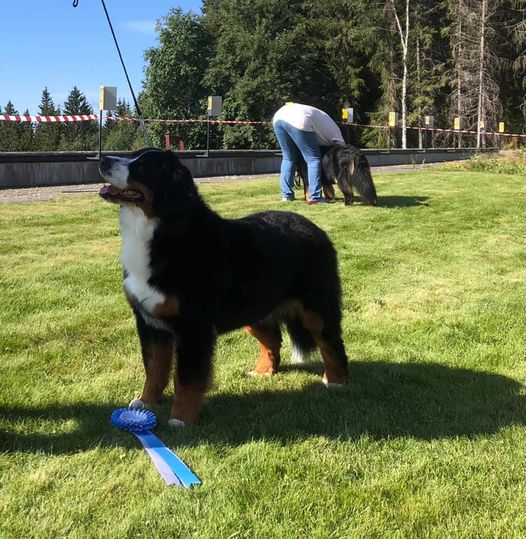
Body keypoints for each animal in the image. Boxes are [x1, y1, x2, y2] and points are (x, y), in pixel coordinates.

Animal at [98, 150, 348, 428]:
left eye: (142, 166)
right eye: (132, 156)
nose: (103, 160)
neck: (162, 229)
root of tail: (314, 227)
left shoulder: (193, 326)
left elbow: (186, 378)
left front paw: (180, 418)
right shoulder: (149, 323)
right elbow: (154, 368)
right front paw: (146, 403)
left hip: (316, 305)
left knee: (331, 341)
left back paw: (336, 380)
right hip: (253, 307)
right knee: (273, 340)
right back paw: (263, 372)